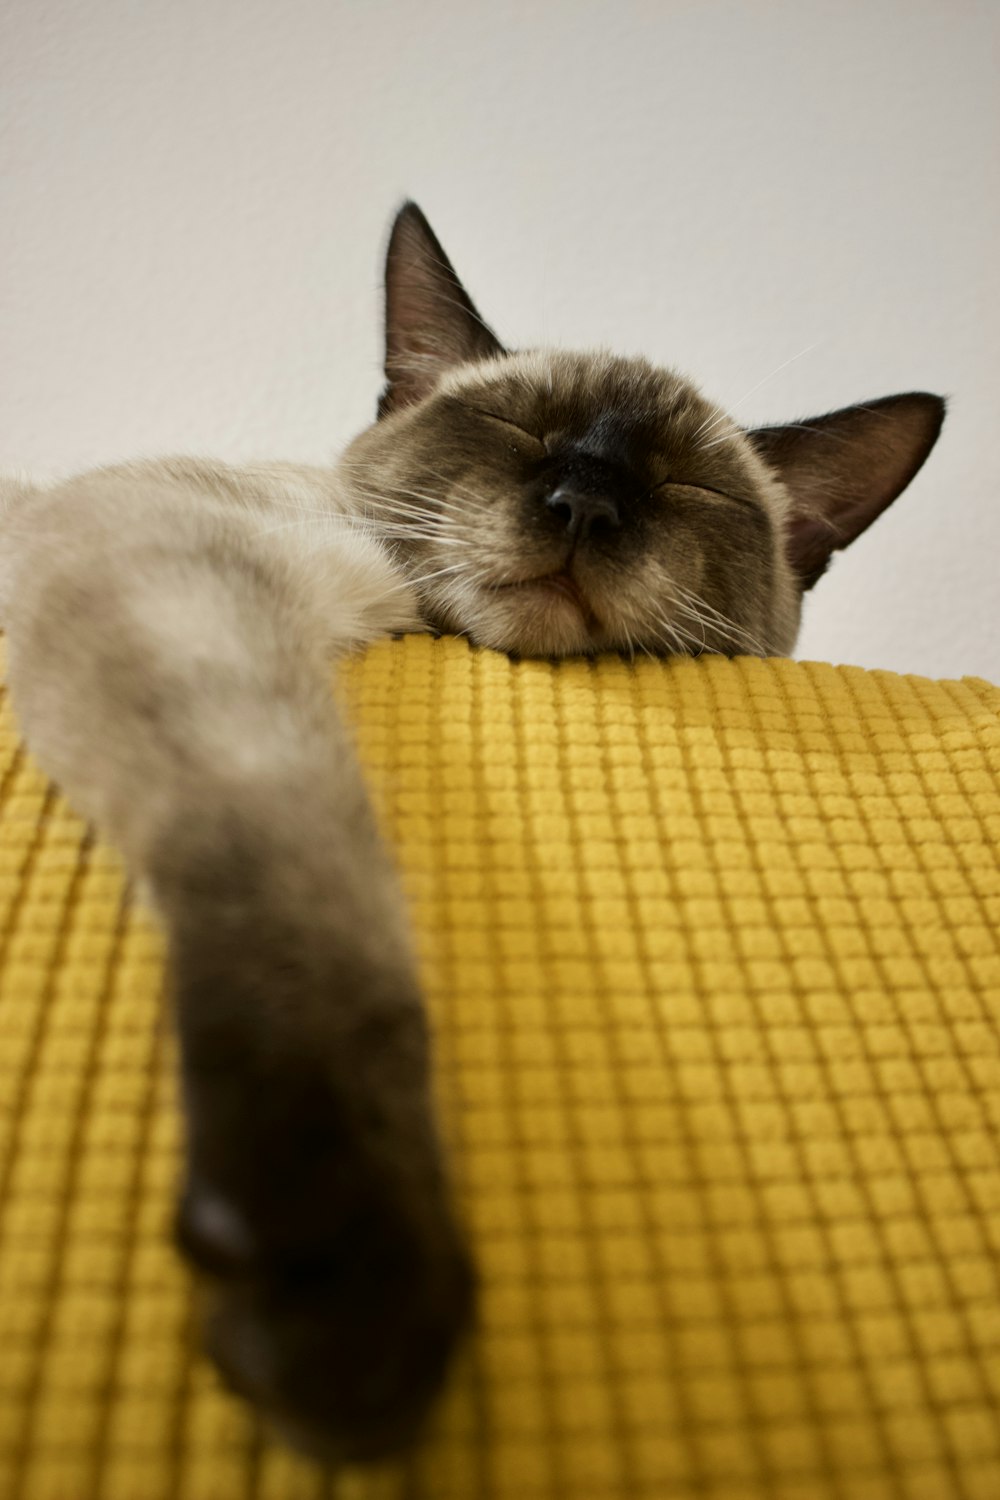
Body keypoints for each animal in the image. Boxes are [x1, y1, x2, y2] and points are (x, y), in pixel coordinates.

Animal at [0, 205, 947, 1458]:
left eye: (687, 486)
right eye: (513, 430)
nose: (583, 508)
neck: (399, 614)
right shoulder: (176, 563)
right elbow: (316, 913)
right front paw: (346, 1309)